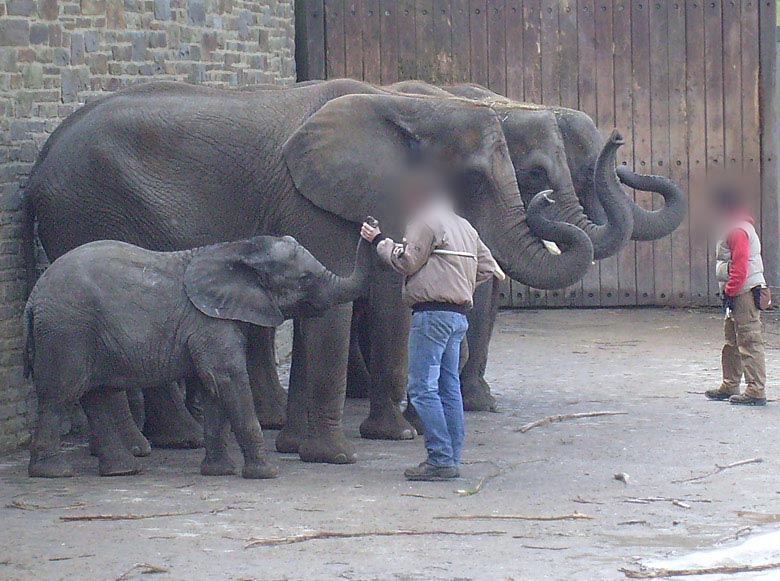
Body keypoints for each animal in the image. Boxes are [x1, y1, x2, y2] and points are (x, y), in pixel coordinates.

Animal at [21, 233, 368, 478]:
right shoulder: (209, 322)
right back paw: (54, 472)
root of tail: (33, 298)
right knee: (61, 395)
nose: (370, 224)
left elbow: (212, 389)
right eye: (305, 279)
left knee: (98, 396)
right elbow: (227, 379)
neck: (237, 248)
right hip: (67, 330)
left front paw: (219, 472)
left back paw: (122, 470)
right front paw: (266, 474)